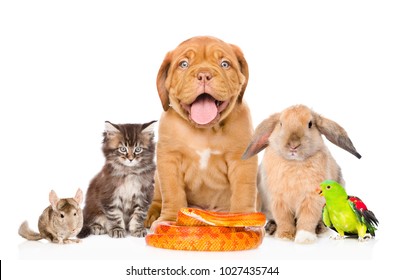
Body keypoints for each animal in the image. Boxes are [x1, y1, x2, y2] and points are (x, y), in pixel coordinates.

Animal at [145, 36, 258, 226]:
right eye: (183, 64)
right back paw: (152, 214)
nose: (204, 75)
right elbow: (172, 192)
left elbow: (243, 191)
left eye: (225, 64)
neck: (205, 131)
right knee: (159, 196)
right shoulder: (169, 159)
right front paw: (170, 219)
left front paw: (243, 219)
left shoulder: (241, 160)